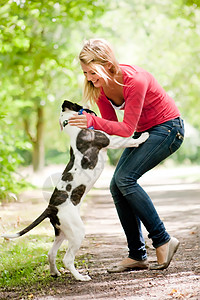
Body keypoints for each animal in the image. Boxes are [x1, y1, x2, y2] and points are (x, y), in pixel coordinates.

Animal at [1, 100, 148, 282]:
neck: (73, 127)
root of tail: (51, 207)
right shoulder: (109, 140)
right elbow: (127, 140)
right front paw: (143, 136)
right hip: (77, 232)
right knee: (67, 259)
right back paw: (80, 277)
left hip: (62, 232)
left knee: (51, 253)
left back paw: (55, 273)